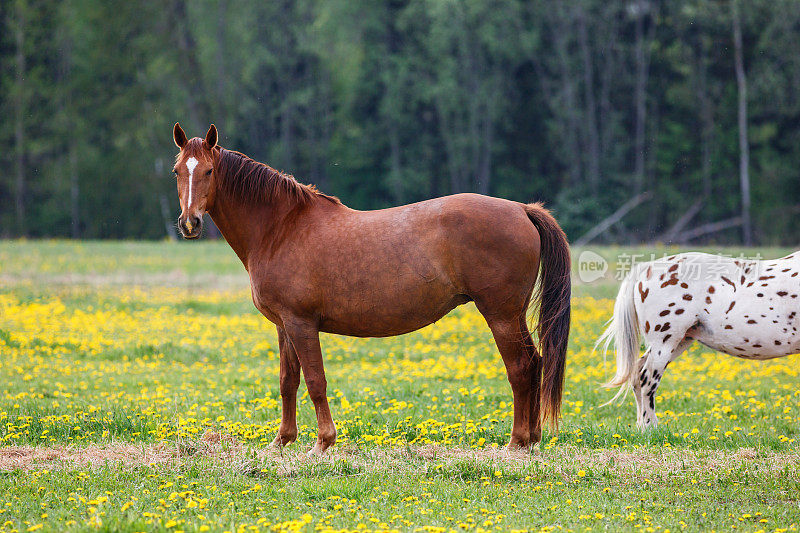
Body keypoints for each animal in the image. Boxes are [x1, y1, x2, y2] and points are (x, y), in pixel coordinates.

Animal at [173, 123, 572, 454]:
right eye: (177, 171)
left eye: (209, 171)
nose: (190, 223)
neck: (281, 227)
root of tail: (522, 209)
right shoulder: (284, 325)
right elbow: (289, 381)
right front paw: (282, 441)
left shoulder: (302, 324)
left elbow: (315, 381)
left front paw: (322, 443)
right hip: (513, 315)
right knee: (535, 363)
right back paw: (532, 439)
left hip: (501, 314)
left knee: (520, 367)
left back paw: (516, 442)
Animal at [596, 250, 796, 428]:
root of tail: (646, 267)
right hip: (665, 342)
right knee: (647, 379)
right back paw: (650, 428)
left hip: (679, 341)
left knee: (637, 373)